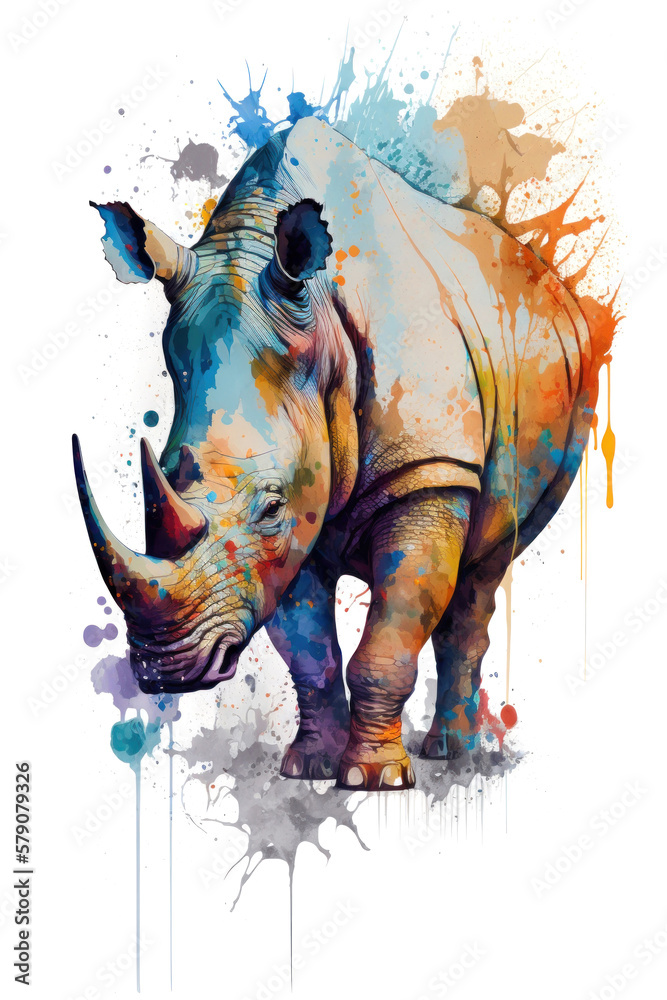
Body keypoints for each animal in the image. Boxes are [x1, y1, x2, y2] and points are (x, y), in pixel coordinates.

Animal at [74, 117, 598, 791]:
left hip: (566, 396)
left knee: (487, 565)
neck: (318, 319)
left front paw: (374, 779)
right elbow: (309, 653)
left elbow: (389, 637)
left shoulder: (426, 471)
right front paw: (308, 767)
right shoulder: (299, 515)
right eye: (160, 476)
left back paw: (451, 754)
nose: (166, 669)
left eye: (269, 507)